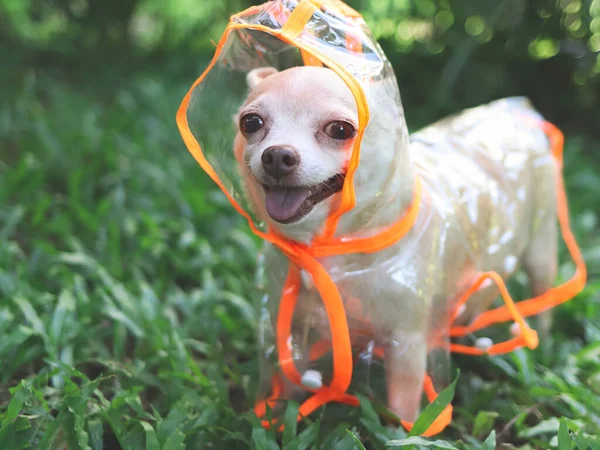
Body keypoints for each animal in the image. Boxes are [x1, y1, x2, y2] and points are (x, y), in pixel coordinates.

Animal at [236, 66, 556, 422]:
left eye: (340, 130)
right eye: (251, 123)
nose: (277, 154)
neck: (335, 251)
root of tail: (513, 113)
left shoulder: (407, 343)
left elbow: (403, 407)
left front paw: (406, 430)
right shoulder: (291, 328)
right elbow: (289, 380)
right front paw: (279, 416)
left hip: (542, 244)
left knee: (543, 296)